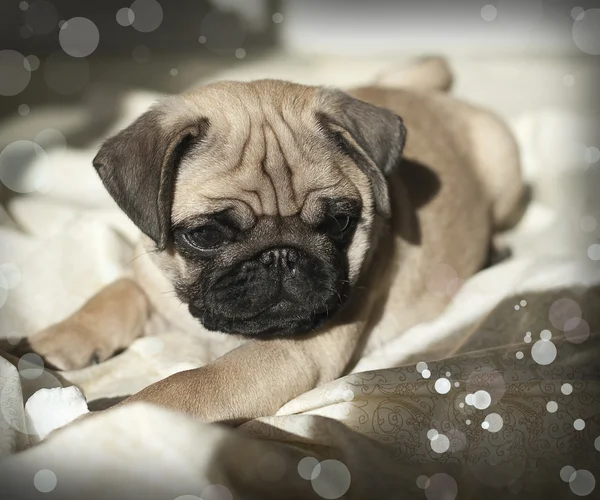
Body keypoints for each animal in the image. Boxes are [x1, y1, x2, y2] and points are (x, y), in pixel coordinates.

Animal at [9, 59, 524, 426]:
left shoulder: (290, 353)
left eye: (340, 222)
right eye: (206, 234)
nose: (280, 256)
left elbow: (183, 385)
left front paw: (93, 423)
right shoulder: (151, 283)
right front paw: (49, 340)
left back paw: (496, 249)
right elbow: (113, 295)